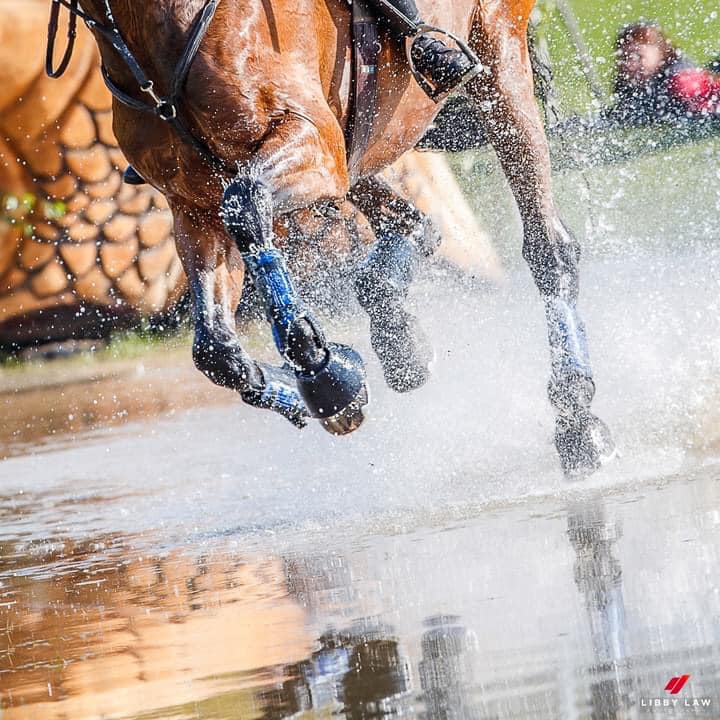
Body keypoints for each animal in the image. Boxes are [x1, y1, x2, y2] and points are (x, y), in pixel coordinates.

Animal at [45, 0, 616, 476]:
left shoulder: (308, 139)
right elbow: (214, 348)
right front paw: (313, 385)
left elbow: (245, 204)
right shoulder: (193, 209)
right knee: (415, 225)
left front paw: (319, 369)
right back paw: (398, 333)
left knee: (548, 250)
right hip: (367, 142)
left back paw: (577, 418)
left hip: (497, 62)